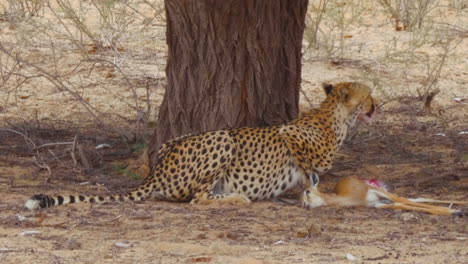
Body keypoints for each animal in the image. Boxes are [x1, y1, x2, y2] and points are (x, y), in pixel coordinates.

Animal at [24, 81, 376, 209]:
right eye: (368, 93)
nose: (377, 104)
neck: (335, 115)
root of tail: (156, 170)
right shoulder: (291, 135)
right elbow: (309, 166)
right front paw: (312, 188)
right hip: (222, 137)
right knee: (197, 198)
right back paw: (237, 198)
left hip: (173, 141)